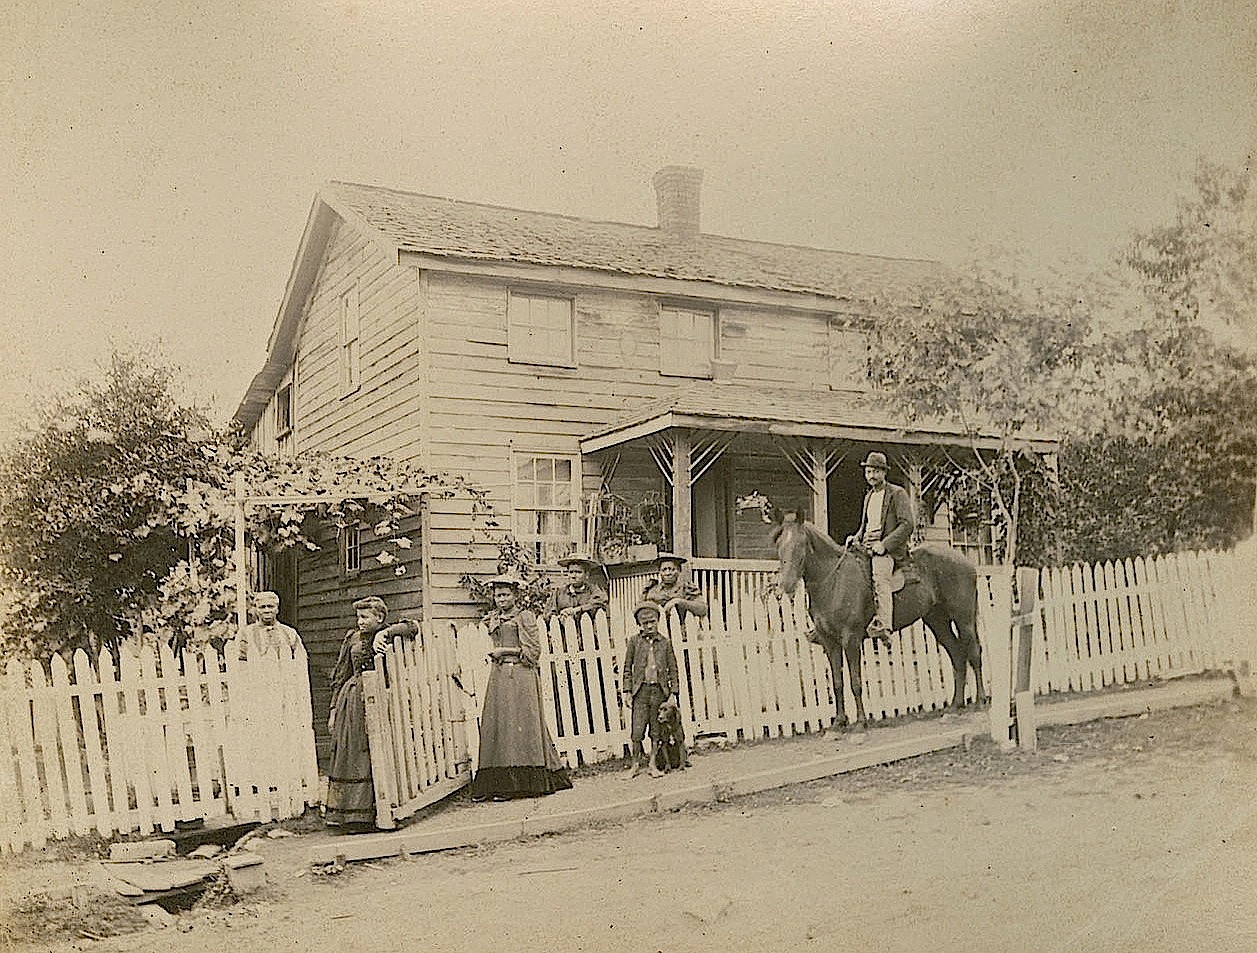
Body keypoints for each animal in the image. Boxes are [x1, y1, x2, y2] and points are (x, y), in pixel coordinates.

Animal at [771, 509, 986, 729]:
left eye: (801, 544)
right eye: (779, 544)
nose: (786, 585)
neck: (833, 581)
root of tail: (965, 561)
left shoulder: (851, 639)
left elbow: (855, 681)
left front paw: (860, 721)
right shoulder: (829, 642)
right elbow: (837, 681)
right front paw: (839, 721)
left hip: (964, 619)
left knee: (974, 652)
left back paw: (980, 701)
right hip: (937, 621)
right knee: (957, 655)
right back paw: (955, 705)